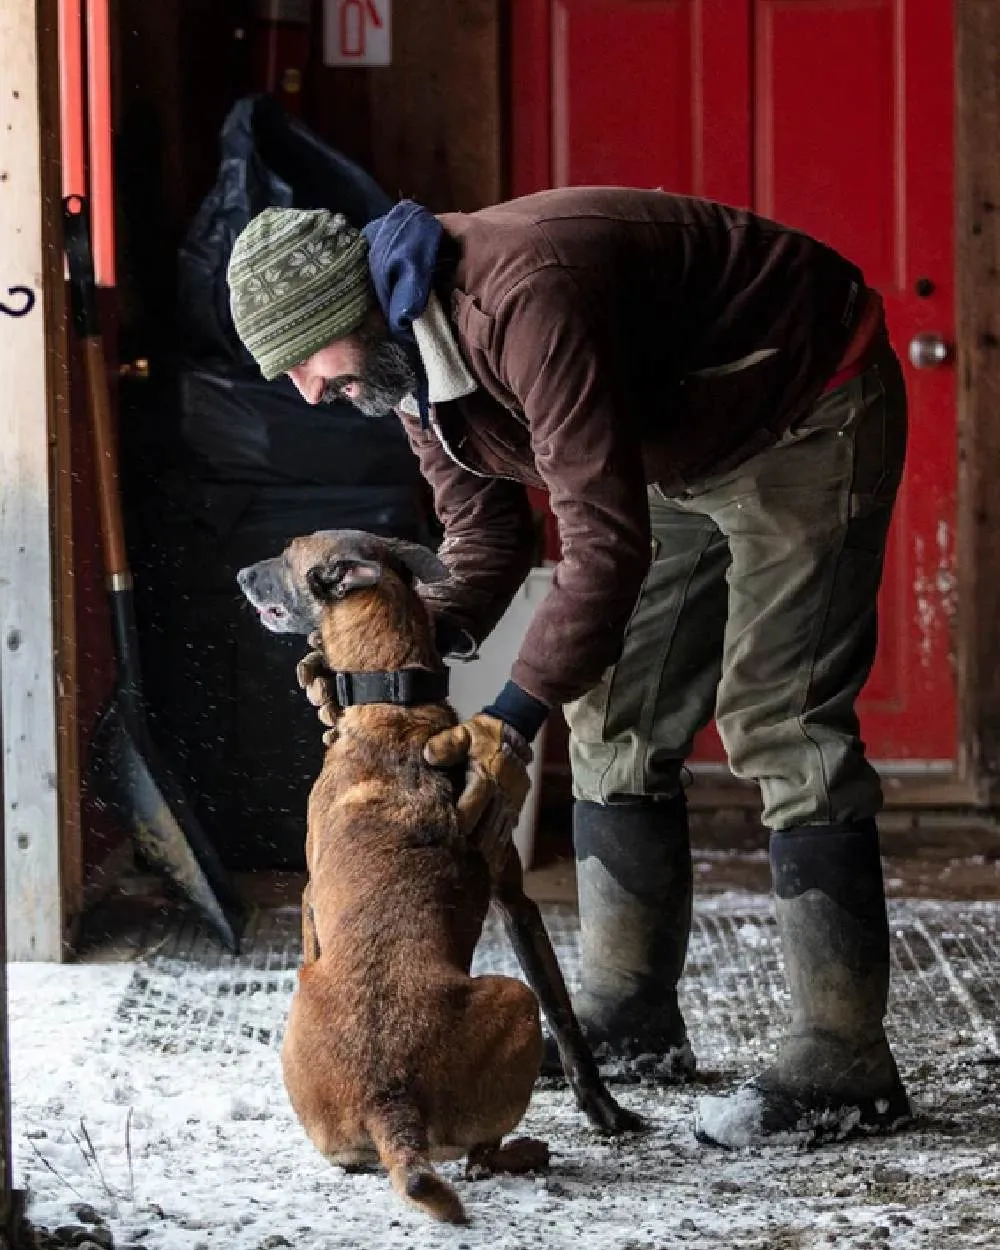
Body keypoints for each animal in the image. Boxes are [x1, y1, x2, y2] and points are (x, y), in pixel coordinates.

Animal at [237, 527, 640, 1220]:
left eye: (288, 553)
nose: (239, 574)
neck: (394, 707)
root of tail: (387, 1099)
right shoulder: (512, 896)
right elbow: (565, 1013)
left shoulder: (321, 896)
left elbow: (562, 1012)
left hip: (509, 998)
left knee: (479, 1156)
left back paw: (525, 1151)